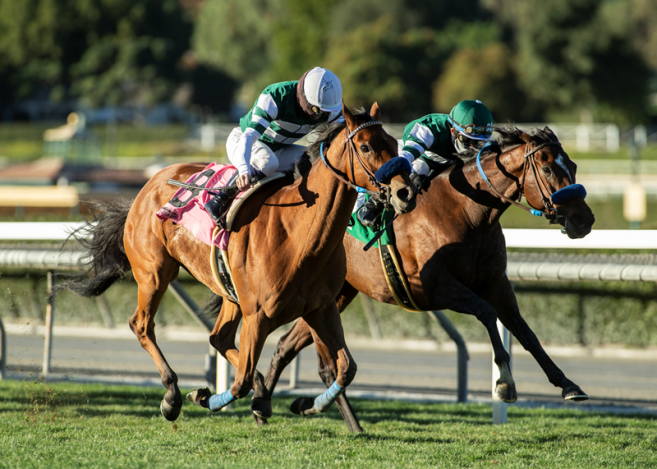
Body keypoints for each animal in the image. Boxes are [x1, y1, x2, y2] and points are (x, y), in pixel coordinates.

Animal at [57, 103, 416, 420]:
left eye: (393, 143)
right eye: (366, 146)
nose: (405, 192)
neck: (299, 234)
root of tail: (148, 185)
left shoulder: (320, 307)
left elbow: (346, 368)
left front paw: (306, 403)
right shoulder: (257, 315)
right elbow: (241, 382)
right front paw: (205, 397)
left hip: (227, 289)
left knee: (219, 338)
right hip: (154, 272)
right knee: (142, 325)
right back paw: (172, 395)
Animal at [256, 125, 596, 432]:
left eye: (574, 166)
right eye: (549, 168)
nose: (584, 220)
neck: (467, 210)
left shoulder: (496, 283)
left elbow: (525, 332)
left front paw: (568, 385)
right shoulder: (433, 289)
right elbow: (487, 313)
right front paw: (505, 383)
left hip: (336, 296)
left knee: (286, 346)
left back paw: (269, 407)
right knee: (324, 364)